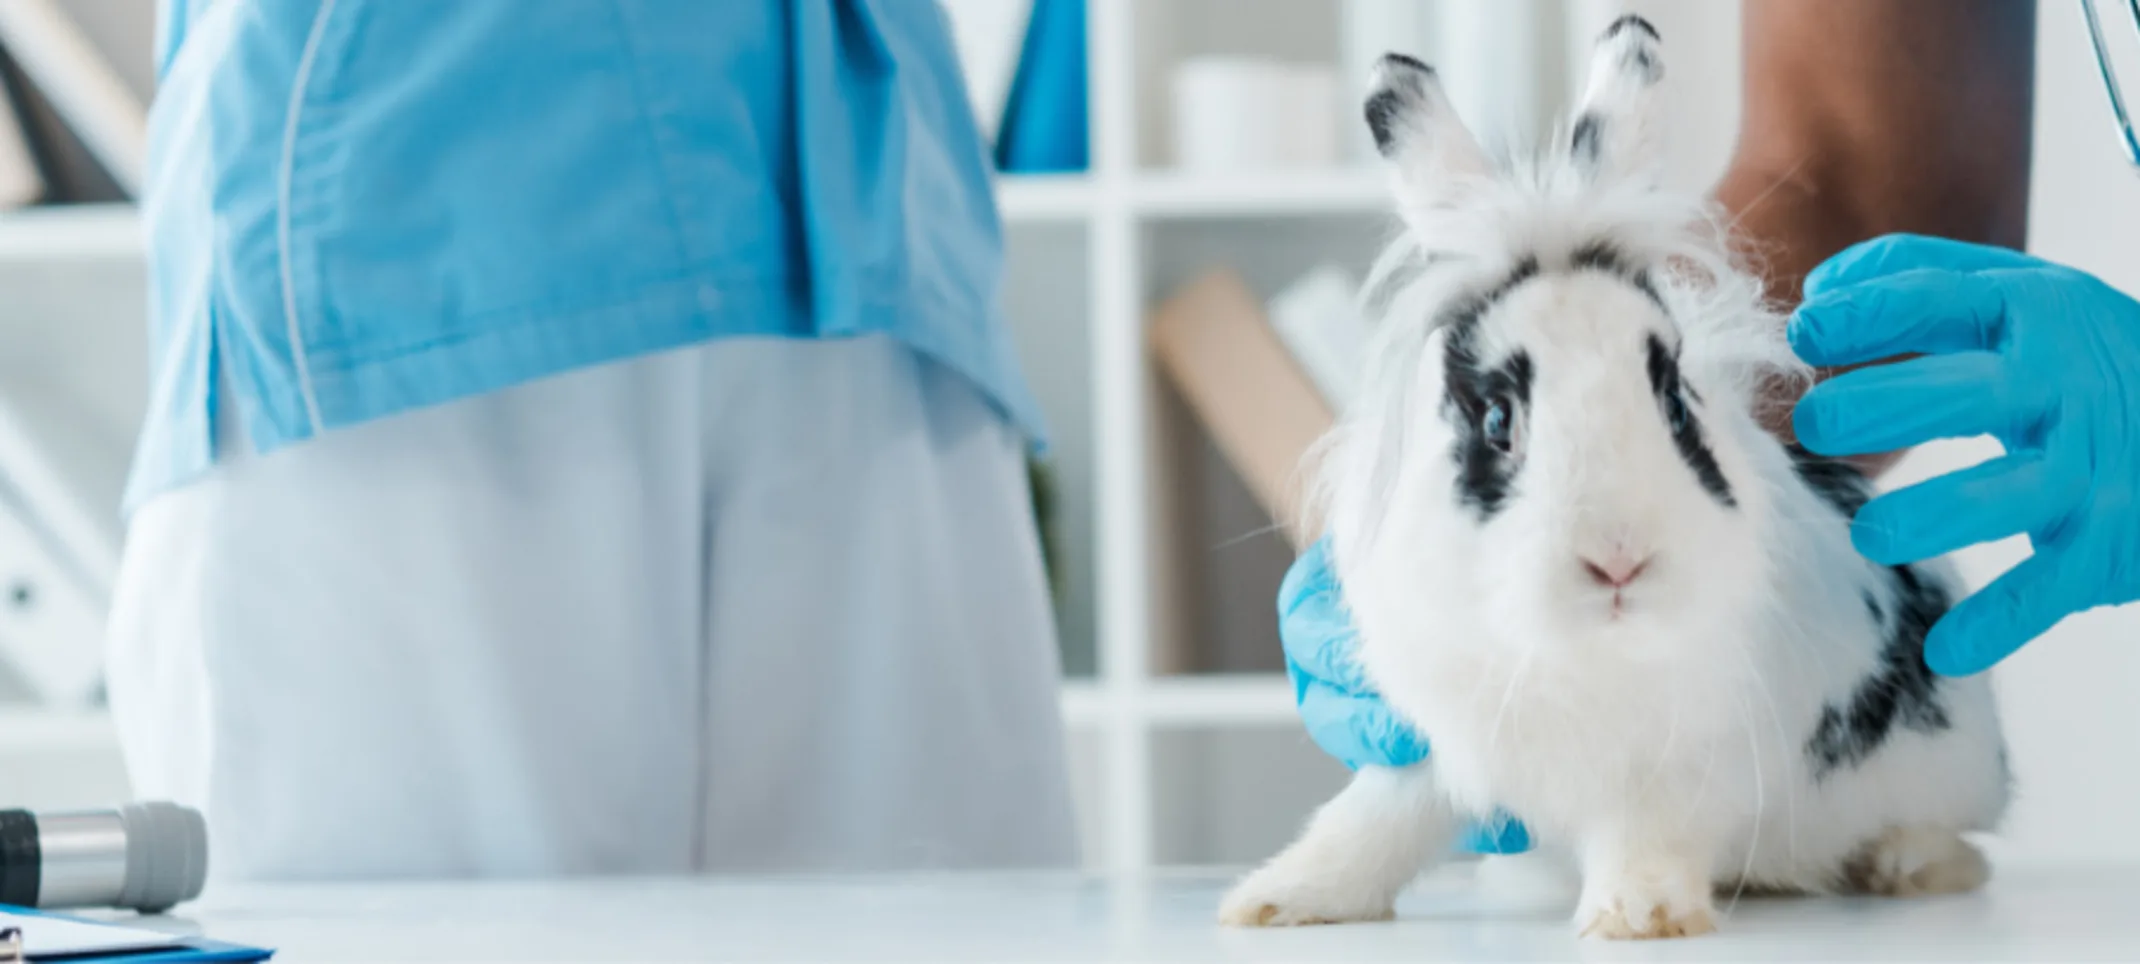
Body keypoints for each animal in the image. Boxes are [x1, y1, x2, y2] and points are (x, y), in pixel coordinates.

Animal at [1224, 16, 2003, 942]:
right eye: (1498, 421)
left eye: (1675, 403)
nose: (1620, 560)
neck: (1576, 651)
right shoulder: (1428, 744)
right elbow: (1373, 822)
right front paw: (1278, 900)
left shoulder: (1676, 766)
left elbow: (1646, 833)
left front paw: (1641, 917)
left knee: (1958, 841)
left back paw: (1903, 864)